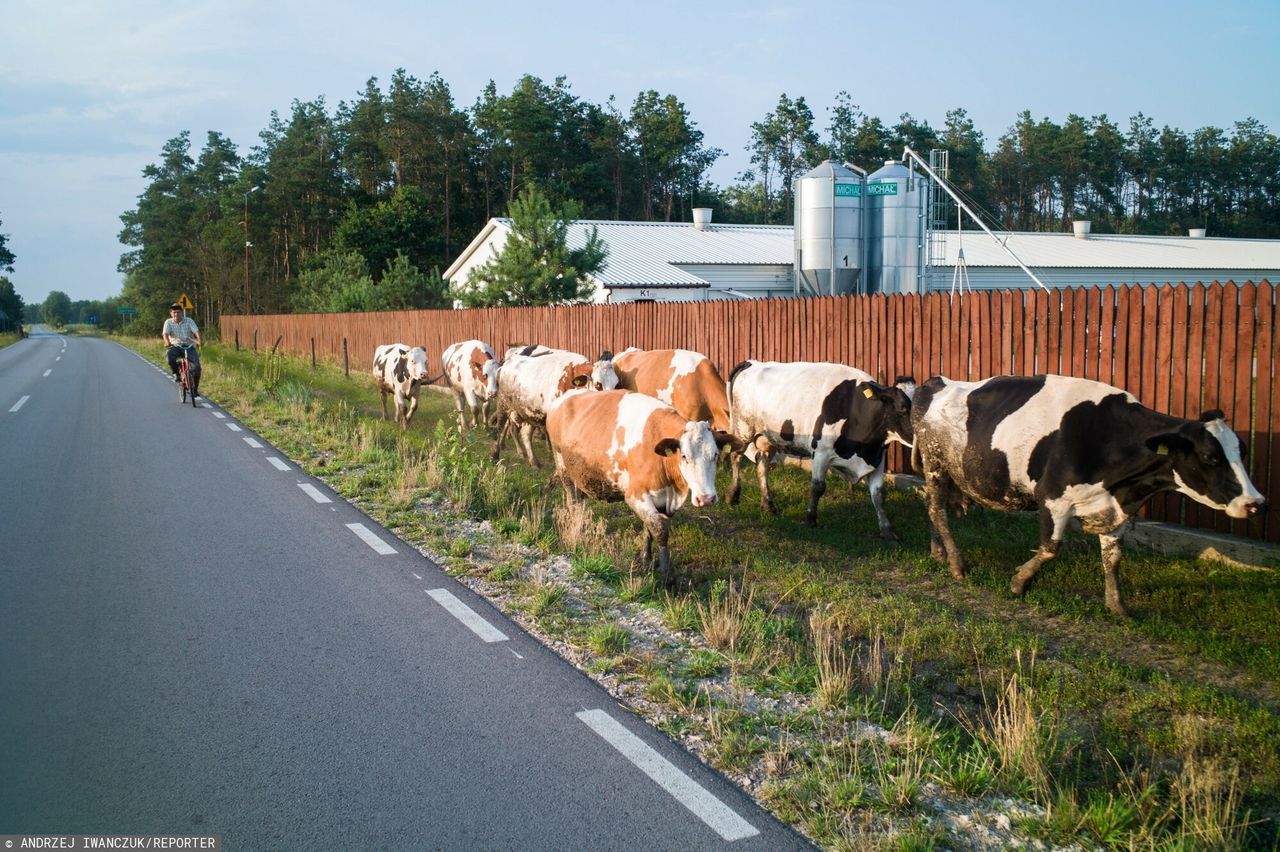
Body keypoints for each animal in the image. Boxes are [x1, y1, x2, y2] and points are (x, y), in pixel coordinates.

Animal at [545, 388, 737, 580]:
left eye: (715, 454)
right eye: (684, 456)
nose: (706, 498)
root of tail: (567, 395)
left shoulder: (659, 498)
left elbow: (648, 529)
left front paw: (646, 562)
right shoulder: (635, 495)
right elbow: (660, 530)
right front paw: (667, 575)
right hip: (562, 467)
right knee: (573, 502)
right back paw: (577, 534)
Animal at [727, 358, 916, 537]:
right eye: (902, 408)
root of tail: (753, 363)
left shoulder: (877, 458)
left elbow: (879, 494)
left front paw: (888, 531)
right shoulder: (820, 452)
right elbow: (818, 487)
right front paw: (810, 520)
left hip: (767, 438)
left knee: (762, 463)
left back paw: (768, 505)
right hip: (743, 430)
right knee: (735, 456)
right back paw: (733, 496)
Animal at [916, 370, 1264, 611]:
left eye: (1243, 451)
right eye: (1210, 457)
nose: (1256, 503)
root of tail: (936, 382)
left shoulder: (1114, 505)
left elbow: (1113, 558)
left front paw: (1116, 606)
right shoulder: (1052, 496)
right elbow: (1050, 548)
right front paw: (1019, 582)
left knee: (931, 505)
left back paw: (938, 552)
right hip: (935, 464)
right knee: (937, 509)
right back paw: (956, 563)